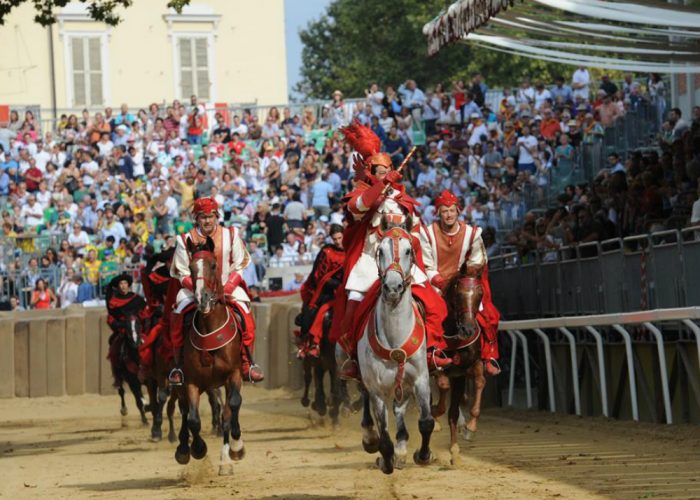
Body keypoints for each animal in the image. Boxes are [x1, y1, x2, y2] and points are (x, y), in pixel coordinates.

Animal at [175, 236, 246, 474]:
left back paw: (226, 459)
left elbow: (232, 407)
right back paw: (183, 449)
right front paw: (197, 449)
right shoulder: (191, 382)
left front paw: (236, 447)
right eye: (190, 267)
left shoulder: (233, 374)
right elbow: (193, 420)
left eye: (214, 265)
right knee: (184, 411)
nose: (202, 297)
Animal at [358, 227, 434, 472]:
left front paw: (423, 455)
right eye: (379, 250)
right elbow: (383, 434)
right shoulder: (376, 388)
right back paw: (372, 439)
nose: (393, 287)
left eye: (409, 250)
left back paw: (401, 449)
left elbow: (426, 422)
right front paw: (386, 459)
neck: (395, 342)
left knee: (400, 410)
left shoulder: (420, 378)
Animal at [432, 266, 486, 460]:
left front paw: (465, 434)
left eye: (480, 293)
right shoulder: (434, 365)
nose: (468, 329)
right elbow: (442, 387)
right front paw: (435, 412)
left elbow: (479, 382)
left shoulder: (465, 369)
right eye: (458, 294)